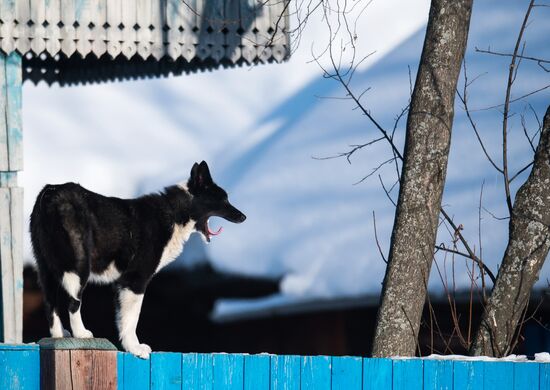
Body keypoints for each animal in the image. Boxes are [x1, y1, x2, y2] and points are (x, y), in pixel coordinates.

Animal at [30, 160, 246, 358]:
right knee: (73, 303)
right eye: (223, 200)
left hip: (46, 268)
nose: (243, 217)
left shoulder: (121, 284)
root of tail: (51, 193)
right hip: (79, 266)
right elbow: (132, 319)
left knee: (50, 305)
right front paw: (135, 348)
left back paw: (59, 335)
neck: (175, 212)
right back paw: (81, 334)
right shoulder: (135, 280)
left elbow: (122, 318)